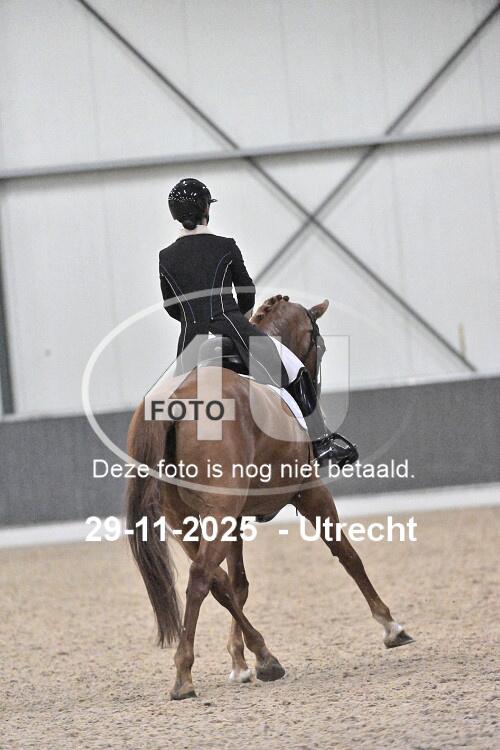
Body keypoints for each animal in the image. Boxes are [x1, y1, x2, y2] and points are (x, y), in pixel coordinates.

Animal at [126, 294, 413, 700]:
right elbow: (348, 555)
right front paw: (391, 626)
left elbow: (239, 584)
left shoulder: (235, 519)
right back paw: (184, 675)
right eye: (319, 345)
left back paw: (263, 656)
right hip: (219, 512)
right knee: (200, 576)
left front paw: (240, 662)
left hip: (183, 518)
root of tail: (176, 400)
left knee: (215, 579)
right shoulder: (309, 492)